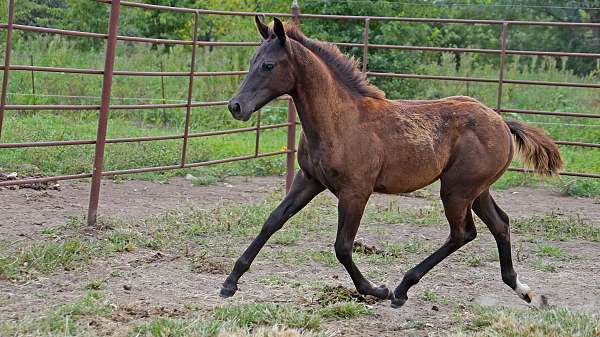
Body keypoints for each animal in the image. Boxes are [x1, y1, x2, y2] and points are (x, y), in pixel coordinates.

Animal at [220, 17, 564, 308]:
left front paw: (375, 289)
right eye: (251, 61)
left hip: (456, 190)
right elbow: (273, 221)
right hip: (476, 190)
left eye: (268, 65)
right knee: (499, 224)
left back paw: (401, 289)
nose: (236, 106)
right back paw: (522, 289)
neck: (339, 120)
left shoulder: (356, 192)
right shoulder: (309, 180)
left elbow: (342, 246)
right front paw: (229, 283)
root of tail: (502, 122)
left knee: (462, 233)